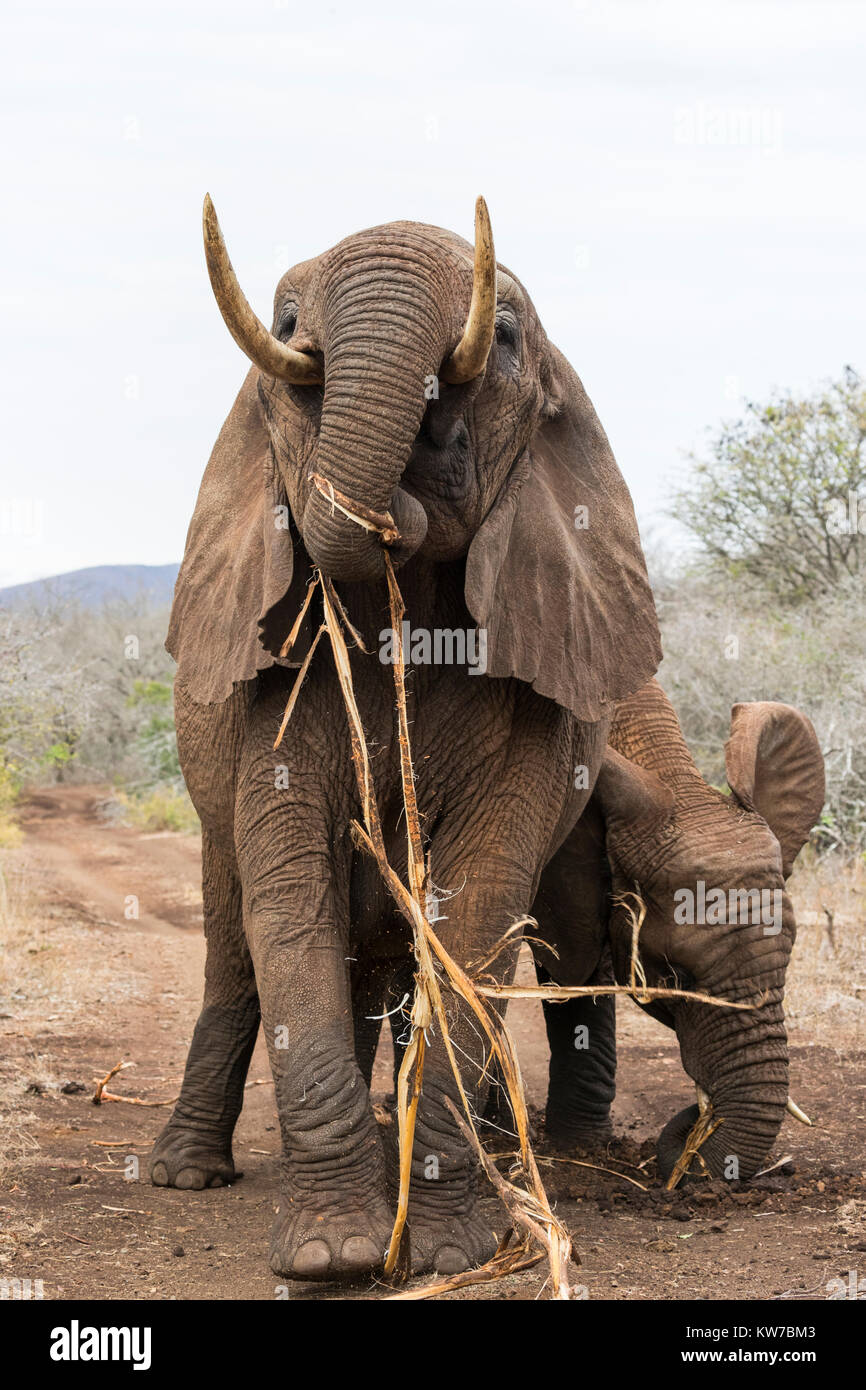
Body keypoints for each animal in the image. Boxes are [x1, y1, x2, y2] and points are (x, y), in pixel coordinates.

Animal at [149, 195, 661, 1282]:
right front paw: (333, 1253)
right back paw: (185, 1174)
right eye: (284, 322)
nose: (419, 456)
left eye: (503, 337)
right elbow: (287, 897)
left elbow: (475, 909)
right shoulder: (275, 685)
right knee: (235, 950)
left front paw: (443, 1248)